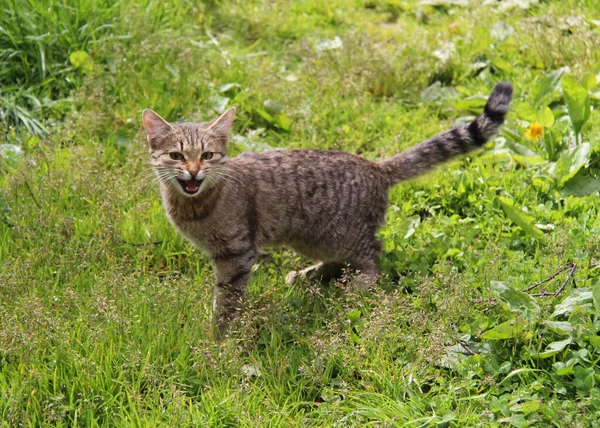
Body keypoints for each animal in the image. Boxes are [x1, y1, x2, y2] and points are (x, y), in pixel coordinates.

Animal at [143, 83, 512, 338]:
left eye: (207, 155)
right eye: (176, 156)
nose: (193, 172)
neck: (193, 205)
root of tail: (376, 167)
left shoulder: (236, 253)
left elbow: (226, 300)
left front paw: (218, 338)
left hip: (340, 236)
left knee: (374, 257)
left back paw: (353, 286)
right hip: (310, 239)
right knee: (343, 261)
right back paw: (308, 276)